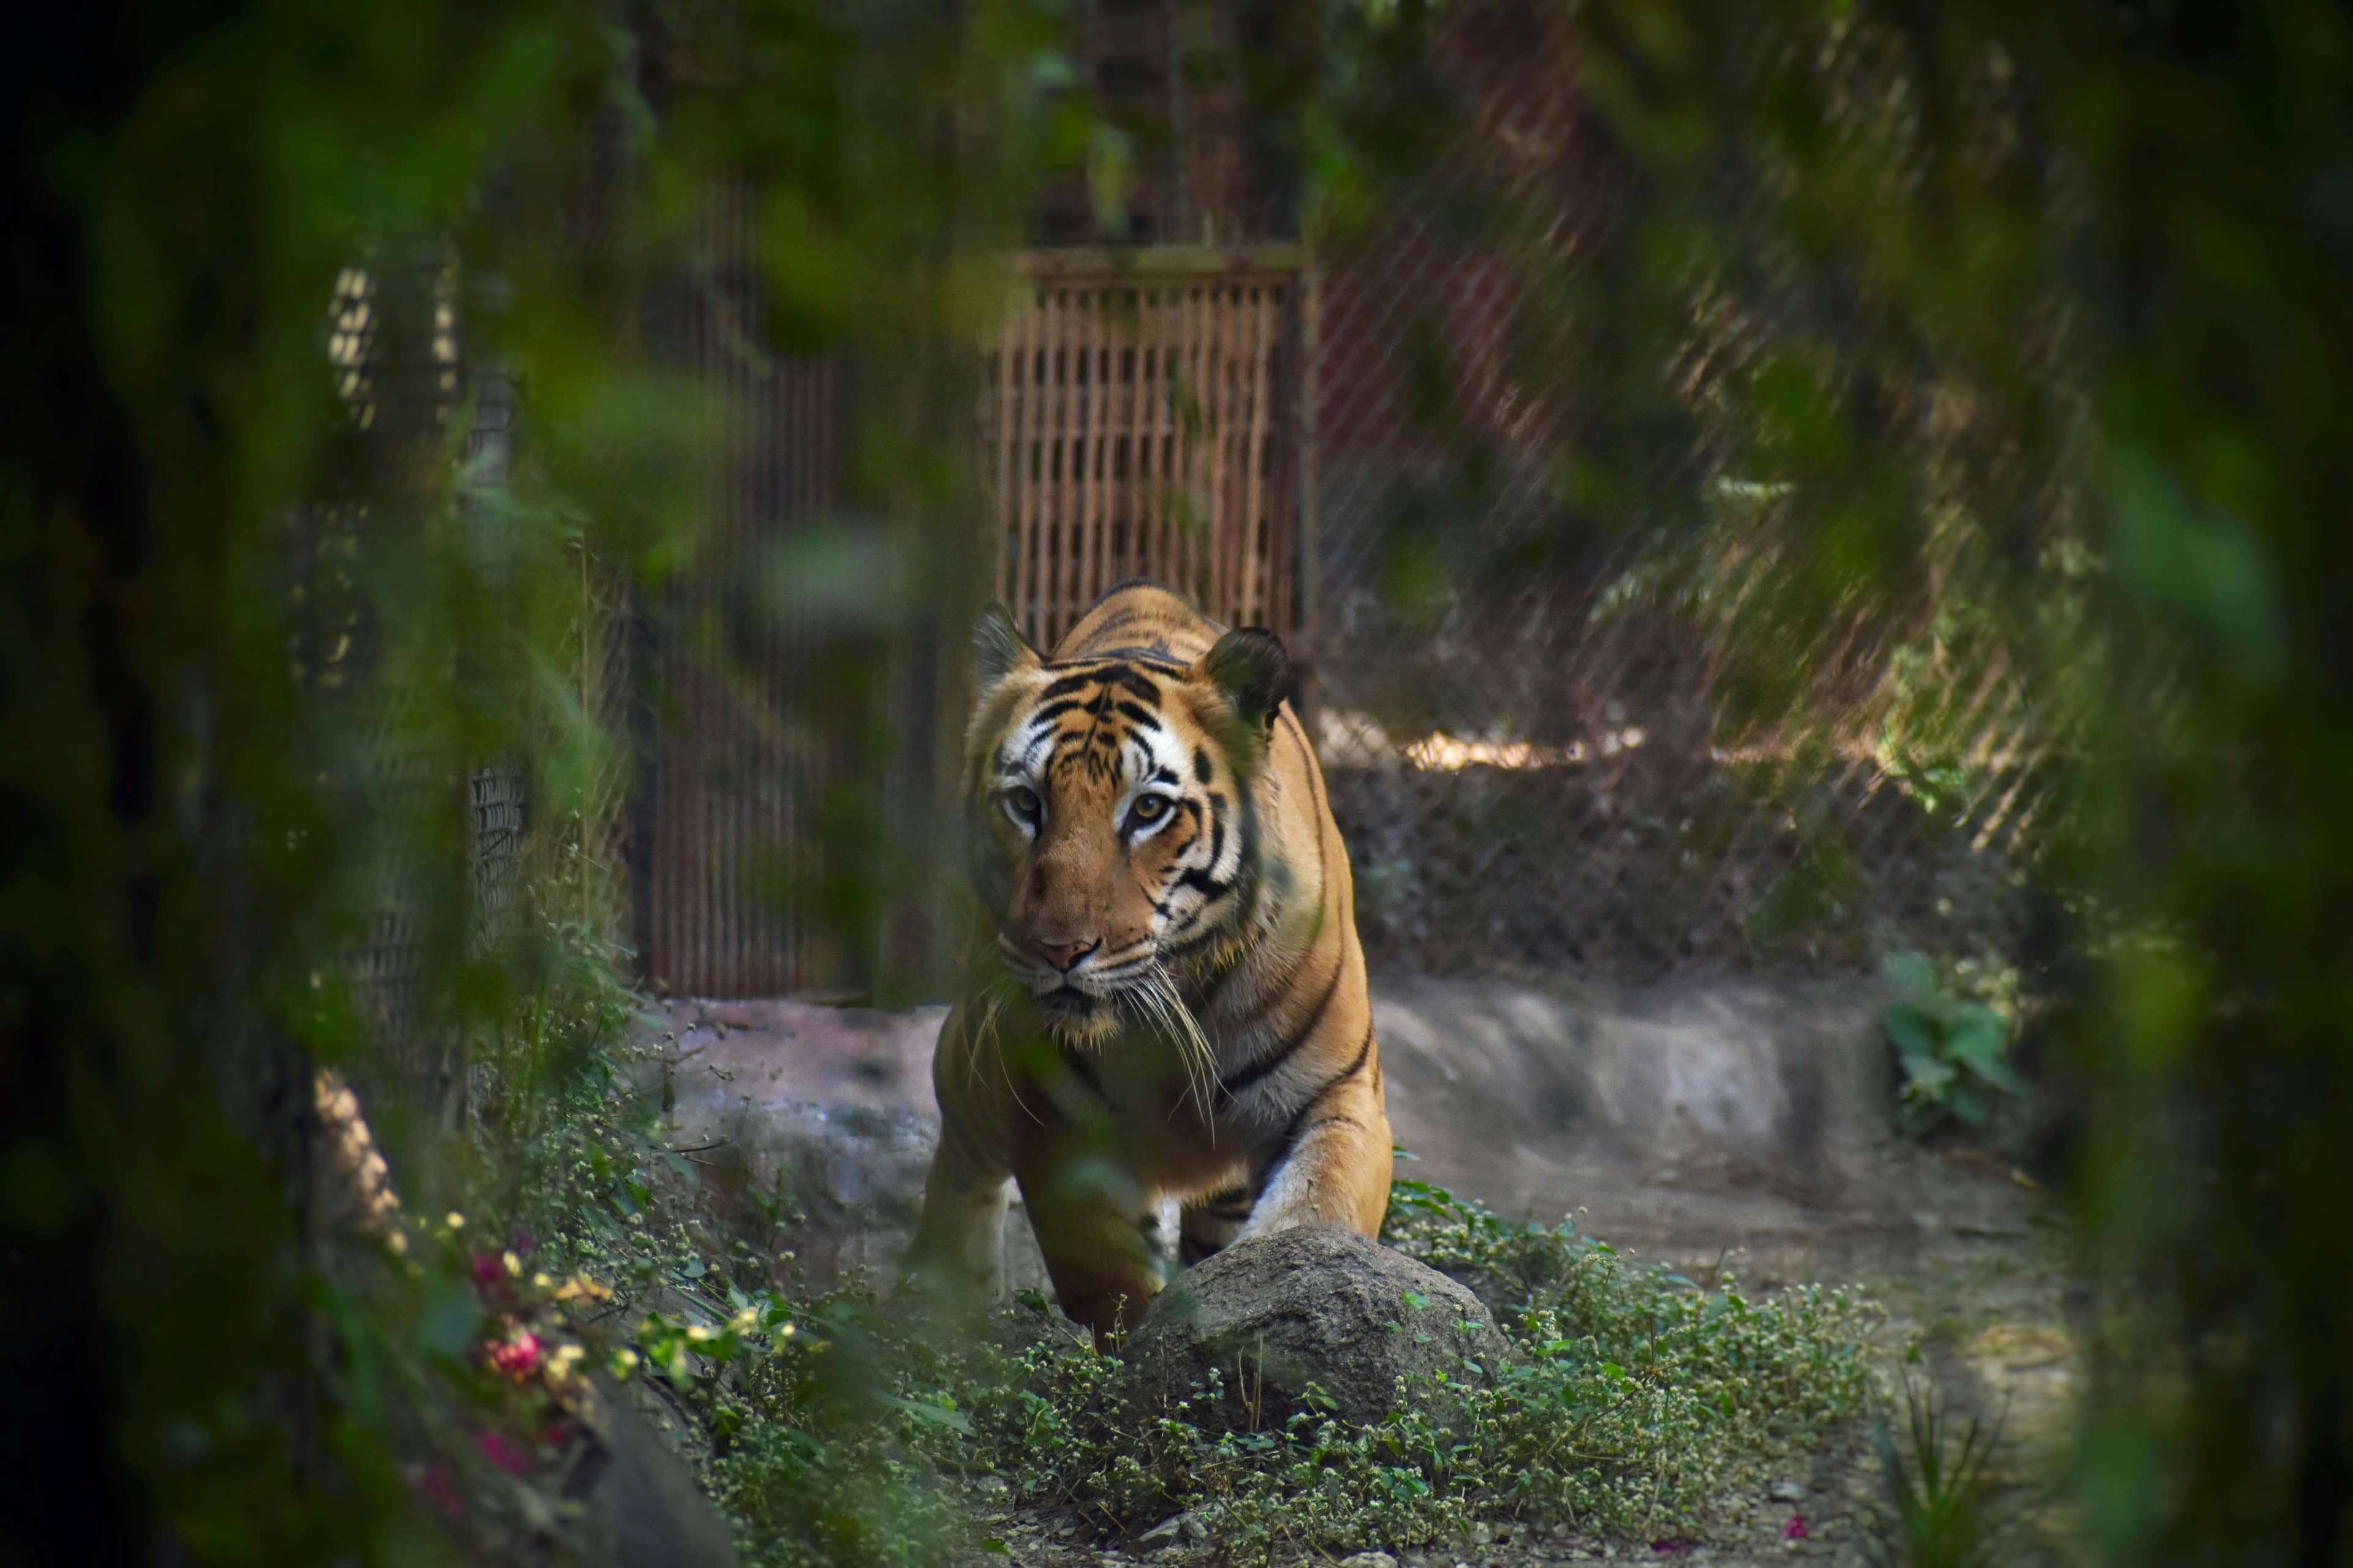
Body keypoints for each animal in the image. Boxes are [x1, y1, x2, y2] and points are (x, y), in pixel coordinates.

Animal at [902, 580, 1392, 1338]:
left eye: (1148, 810)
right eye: (1026, 803)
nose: (1060, 950)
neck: (1177, 996)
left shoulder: (1339, 1094)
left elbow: (1315, 1218)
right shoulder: (1049, 1115)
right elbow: (1108, 1278)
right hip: (975, 1065)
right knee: (959, 1163)